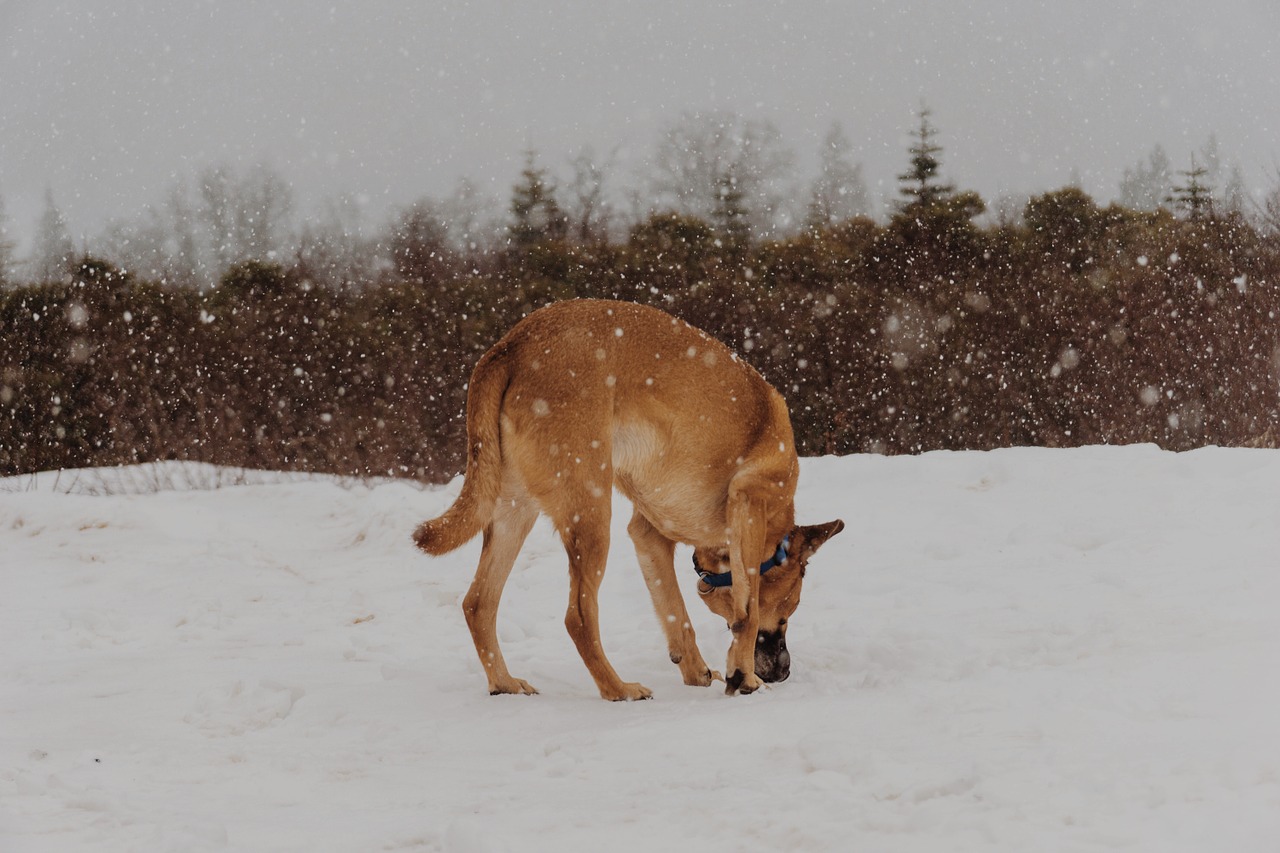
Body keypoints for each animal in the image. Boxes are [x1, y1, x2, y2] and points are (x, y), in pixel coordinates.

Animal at [414, 298, 844, 696]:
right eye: (789, 610)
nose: (783, 672)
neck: (773, 526)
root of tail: (511, 344)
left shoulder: (648, 536)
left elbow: (677, 614)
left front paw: (698, 672)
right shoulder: (749, 505)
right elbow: (748, 613)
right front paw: (744, 677)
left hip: (514, 511)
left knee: (478, 603)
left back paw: (504, 683)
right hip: (590, 512)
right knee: (578, 616)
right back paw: (617, 689)